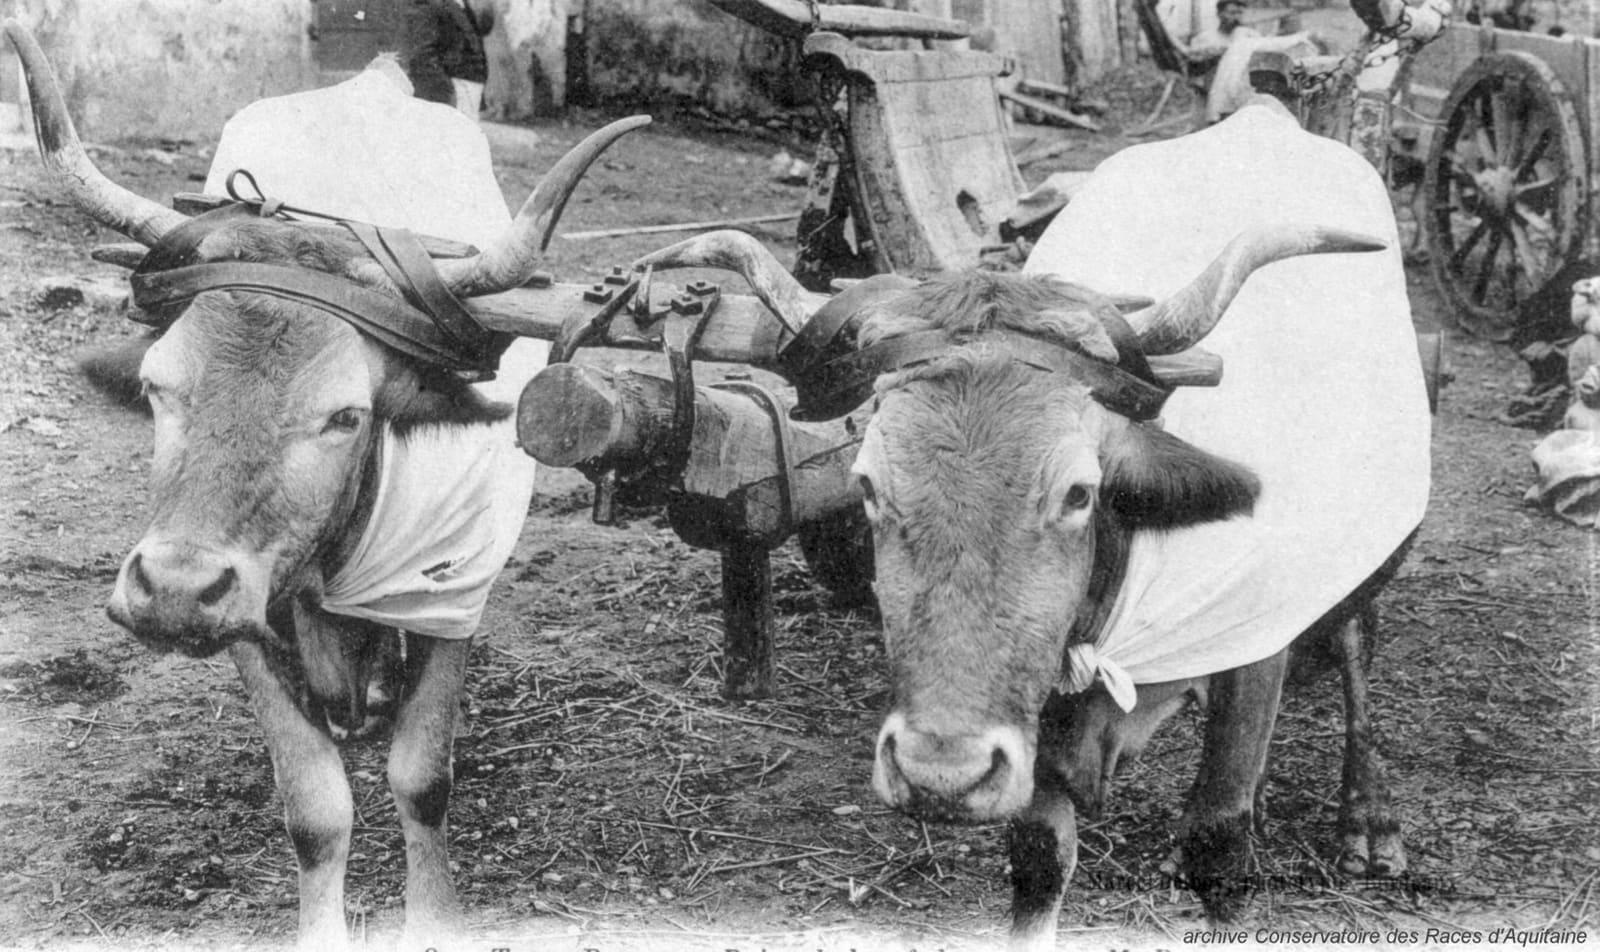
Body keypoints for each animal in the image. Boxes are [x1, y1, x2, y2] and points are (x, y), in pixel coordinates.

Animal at [5, 21, 644, 950]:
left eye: (344, 415)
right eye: (158, 386)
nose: (172, 589)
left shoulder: (452, 598)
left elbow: (422, 779)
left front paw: (433, 916)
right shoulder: (248, 617)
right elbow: (314, 806)